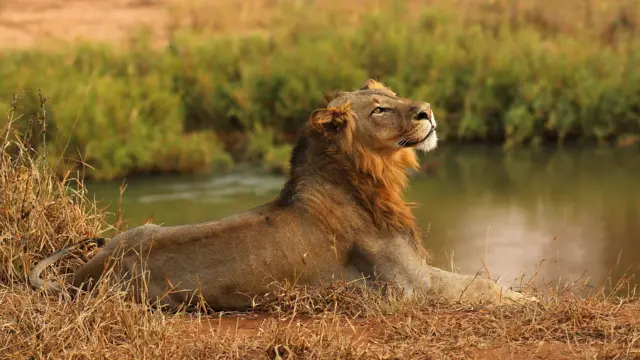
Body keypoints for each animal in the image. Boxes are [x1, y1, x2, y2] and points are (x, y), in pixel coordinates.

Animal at [28, 80, 536, 310]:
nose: (427, 111)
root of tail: (85, 276)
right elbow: (480, 286)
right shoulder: (409, 288)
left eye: (393, 94)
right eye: (380, 109)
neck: (373, 178)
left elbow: (482, 281)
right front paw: (533, 301)